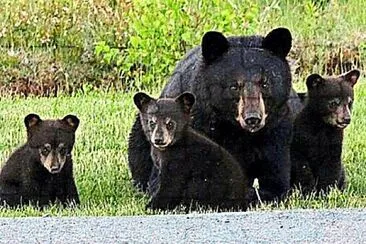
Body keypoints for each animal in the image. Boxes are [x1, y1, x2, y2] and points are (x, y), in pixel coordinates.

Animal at [129, 27, 300, 204]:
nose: (252, 118)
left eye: (265, 83)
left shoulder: (275, 131)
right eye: (234, 86)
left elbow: (274, 181)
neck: (235, 129)